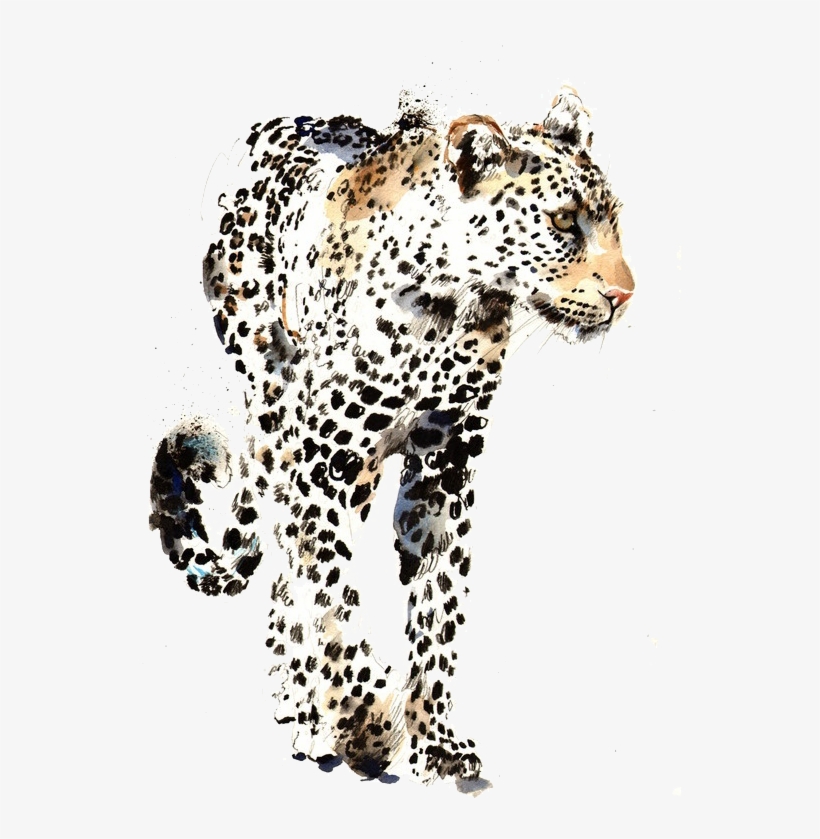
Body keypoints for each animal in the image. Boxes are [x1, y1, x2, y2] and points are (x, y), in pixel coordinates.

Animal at [149, 86, 634, 790]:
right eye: (564, 223)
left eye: (615, 221)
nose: (626, 294)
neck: (449, 304)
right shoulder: (318, 465)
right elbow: (334, 602)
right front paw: (367, 726)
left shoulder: (445, 471)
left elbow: (440, 611)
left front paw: (438, 740)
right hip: (273, 413)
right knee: (291, 567)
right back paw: (305, 712)